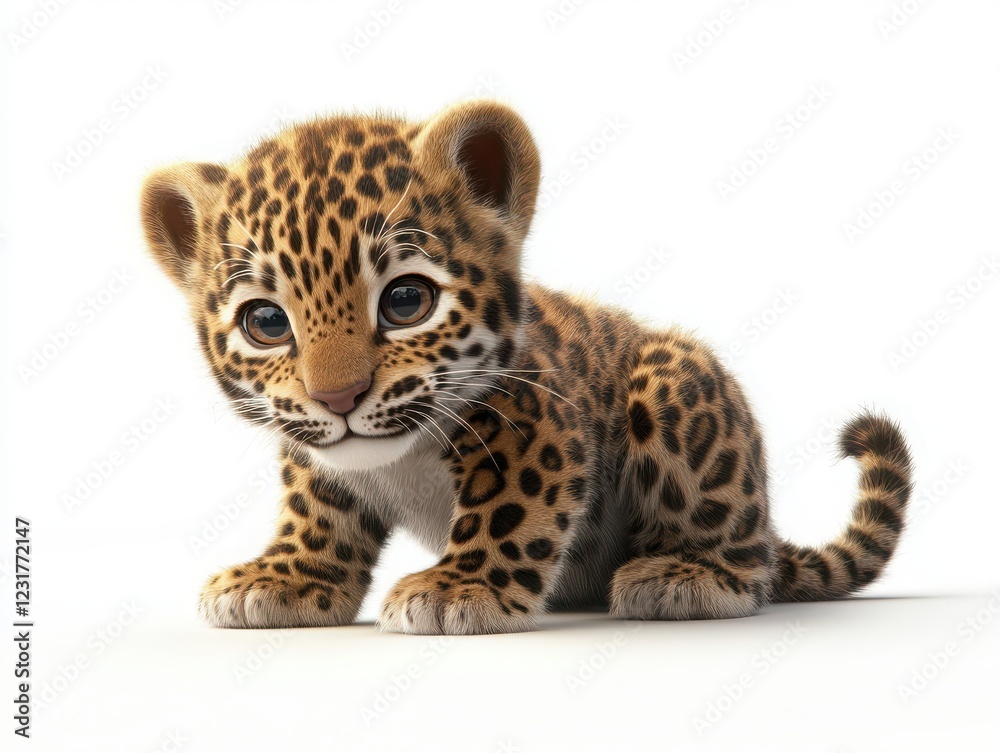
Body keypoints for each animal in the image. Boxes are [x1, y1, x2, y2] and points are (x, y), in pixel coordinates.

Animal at [140, 100, 914, 635]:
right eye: (267, 322)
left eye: (406, 300)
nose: (340, 397)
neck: (402, 460)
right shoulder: (315, 455)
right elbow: (318, 510)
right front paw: (283, 578)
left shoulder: (537, 425)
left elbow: (508, 511)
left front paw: (458, 588)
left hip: (672, 377)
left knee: (746, 557)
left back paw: (685, 576)